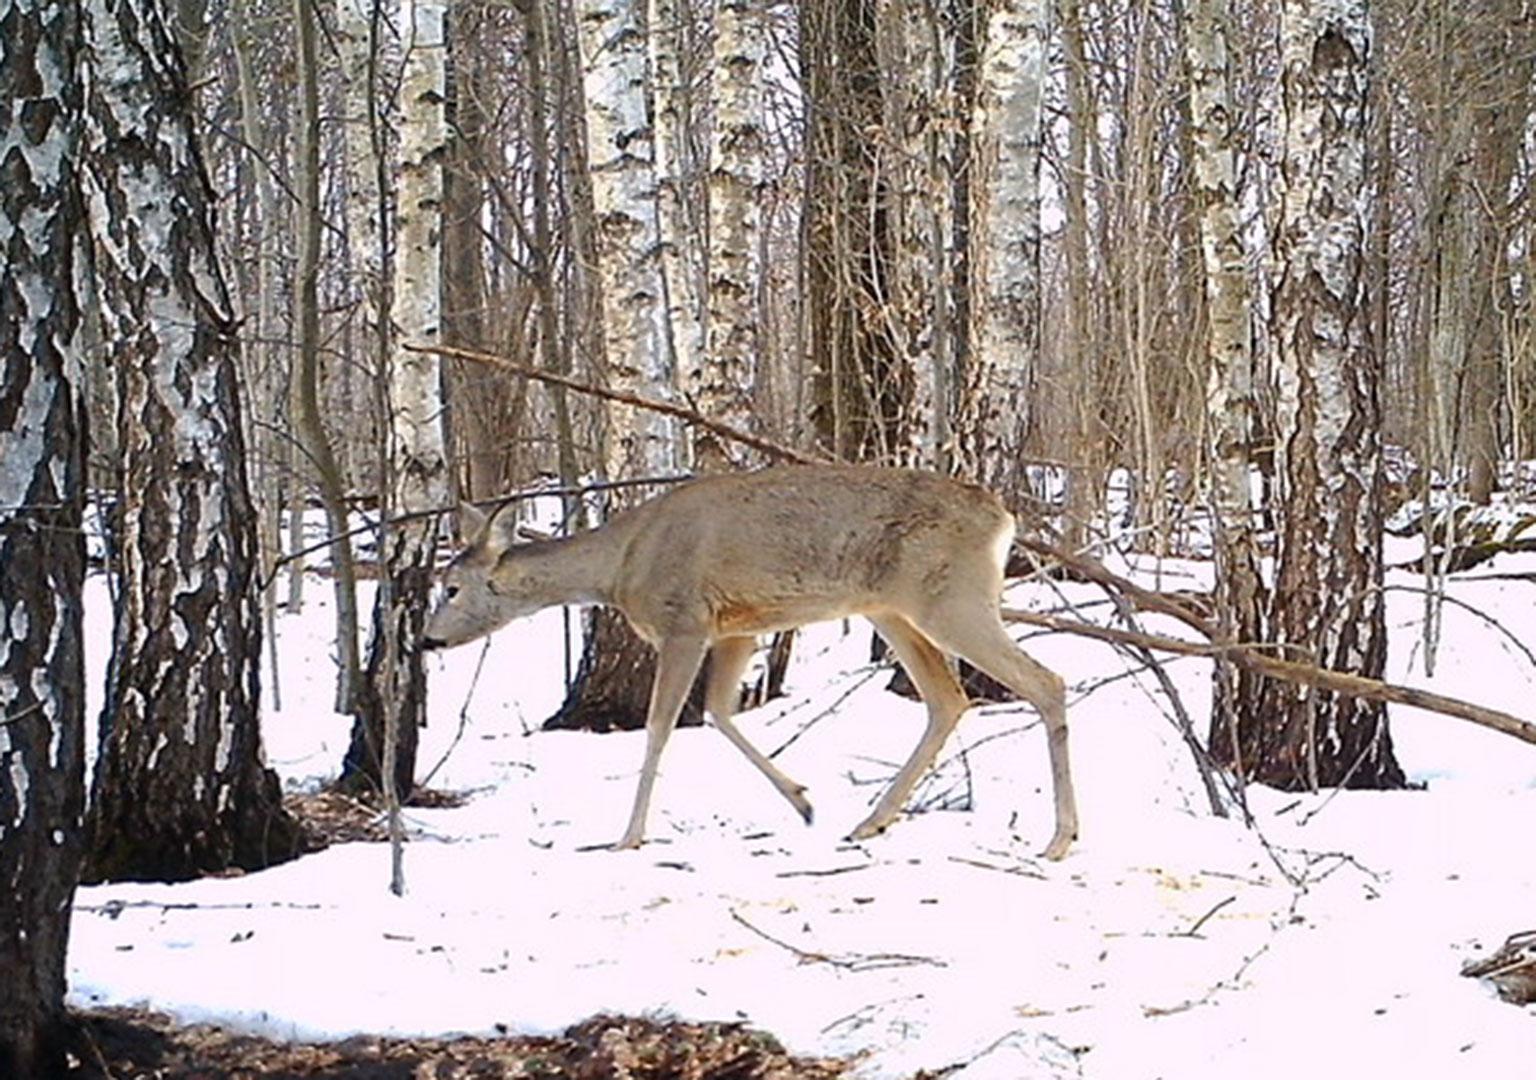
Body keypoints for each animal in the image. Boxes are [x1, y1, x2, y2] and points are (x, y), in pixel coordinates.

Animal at [420, 467, 1081, 860]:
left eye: (450, 588)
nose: (426, 640)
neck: (621, 565)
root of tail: (1003, 518)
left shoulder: (684, 620)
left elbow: (660, 727)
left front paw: (628, 836)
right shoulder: (738, 624)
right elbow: (718, 712)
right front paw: (802, 799)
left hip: (951, 598)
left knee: (1045, 681)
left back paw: (1059, 838)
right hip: (893, 607)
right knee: (948, 698)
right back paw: (870, 822)